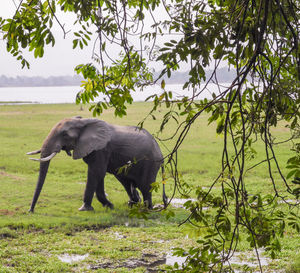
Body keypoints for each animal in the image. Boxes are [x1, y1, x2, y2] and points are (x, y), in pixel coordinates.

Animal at [26, 116, 168, 211]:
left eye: (65, 134)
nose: (31, 211)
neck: (83, 122)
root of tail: (161, 153)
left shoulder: (101, 149)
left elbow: (96, 172)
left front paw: (84, 209)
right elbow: (99, 174)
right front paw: (109, 206)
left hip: (151, 163)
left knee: (145, 185)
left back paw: (147, 208)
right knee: (126, 181)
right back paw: (132, 204)